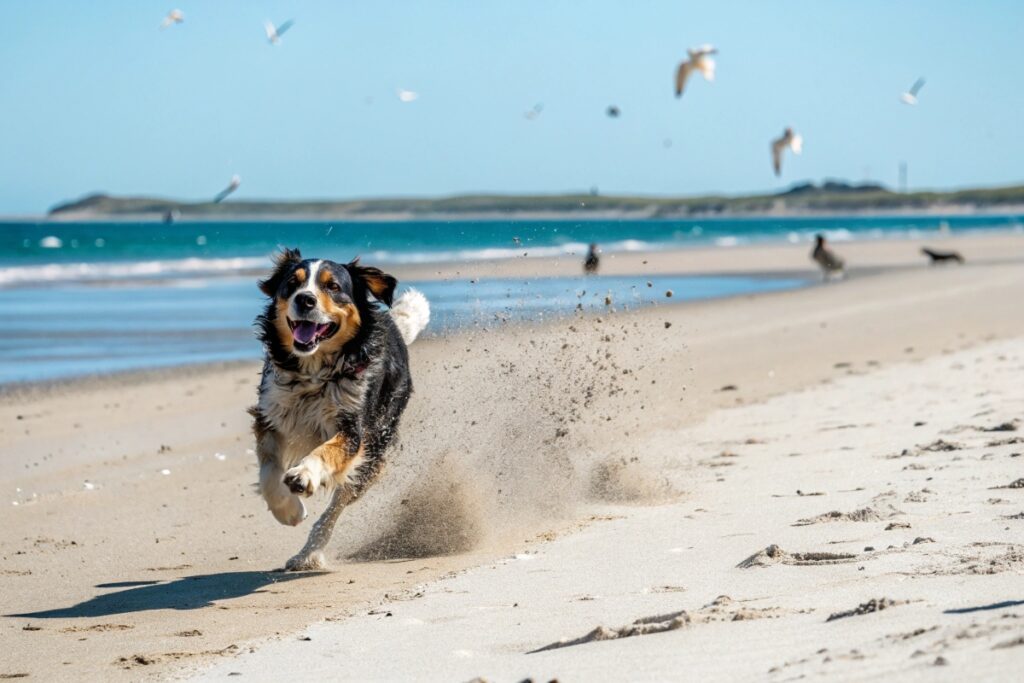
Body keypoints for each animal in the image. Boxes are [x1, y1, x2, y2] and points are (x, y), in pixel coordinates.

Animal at [249, 250, 430, 573]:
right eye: (291, 284)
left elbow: (325, 451)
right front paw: (288, 511)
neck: (313, 371)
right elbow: (269, 472)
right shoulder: (271, 415)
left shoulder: (354, 430)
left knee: (335, 509)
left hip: (374, 451)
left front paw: (304, 474)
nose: (305, 299)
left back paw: (308, 555)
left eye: (332, 286)